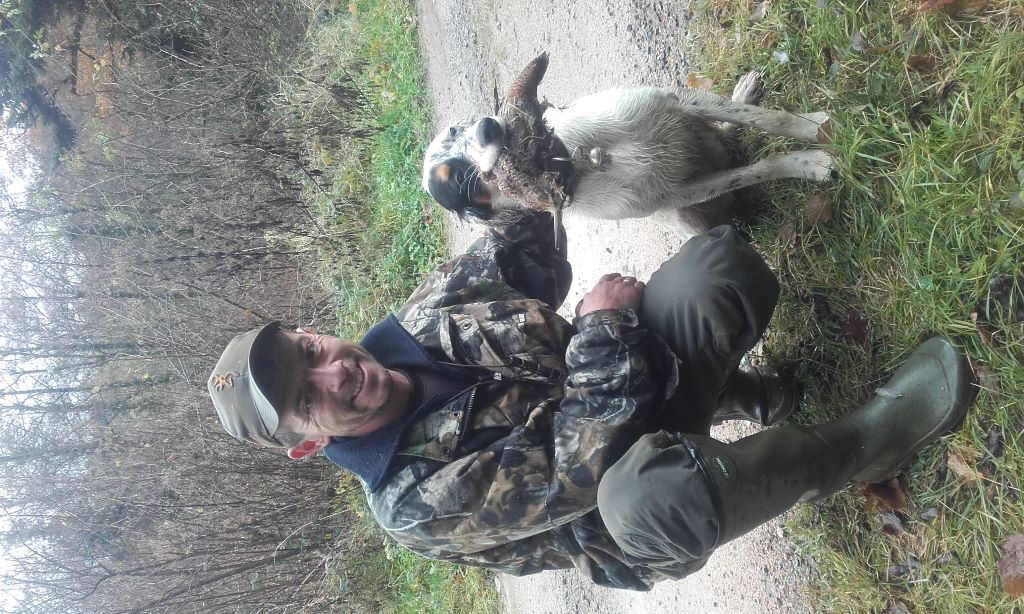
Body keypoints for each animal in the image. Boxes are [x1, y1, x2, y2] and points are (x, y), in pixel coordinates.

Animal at [419, 69, 835, 237]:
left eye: (456, 129)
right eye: (460, 181)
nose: (488, 127)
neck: (582, 157)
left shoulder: (673, 101)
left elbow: (766, 119)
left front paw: (812, 130)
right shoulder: (681, 193)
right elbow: (755, 171)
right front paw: (809, 163)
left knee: (728, 129)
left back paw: (746, 92)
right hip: (687, 219)